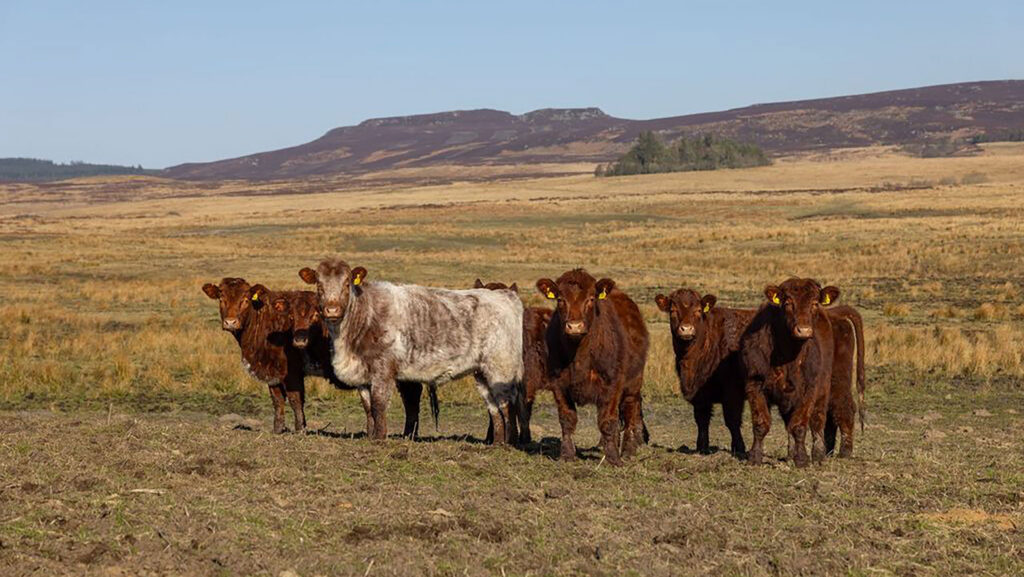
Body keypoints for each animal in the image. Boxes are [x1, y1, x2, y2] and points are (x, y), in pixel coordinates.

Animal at [299, 259, 524, 443]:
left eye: (347, 284)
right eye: (319, 285)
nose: (332, 310)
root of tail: (506, 296)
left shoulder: (383, 369)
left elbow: (379, 405)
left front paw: (379, 439)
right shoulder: (362, 374)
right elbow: (368, 407)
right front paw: (370, 436)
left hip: (501, 367)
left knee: (507, 405)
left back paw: (510, 443)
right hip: (482, 372)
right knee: (494, 407)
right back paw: (497, 444)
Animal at [535, 269, 649, 466]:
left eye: (591, 299)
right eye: (560, 299)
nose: (574, 326)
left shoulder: (612, 383)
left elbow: (607, 420)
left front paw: (613, 458)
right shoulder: (558, 384)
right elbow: (567, 419)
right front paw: (567, 455)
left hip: (633, 383)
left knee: (629, 412)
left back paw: (628, 450)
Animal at [655, 289, 754, 456]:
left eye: (698, 311)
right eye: (673, 310)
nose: (686, 329)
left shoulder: (732, 391)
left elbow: (732, 420)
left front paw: (739, 448)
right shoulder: (699, 393)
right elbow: (701, 419)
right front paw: (702, 447)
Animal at [740, 278, 838, 467]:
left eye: (814, 303)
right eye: (787, 303)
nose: (803, 330)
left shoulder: (809, 390)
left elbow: (799, 425)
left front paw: (802, 459)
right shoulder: (754, 384)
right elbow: (761, 423)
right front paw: (755, 457)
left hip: (823, 387)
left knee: (817, 421)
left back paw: (818, 454)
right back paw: (791, 452)